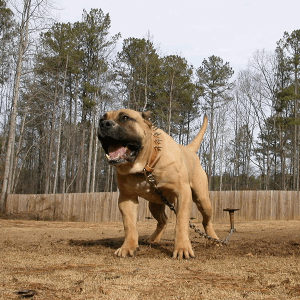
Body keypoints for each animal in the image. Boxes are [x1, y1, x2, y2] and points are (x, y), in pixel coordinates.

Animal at [98, 109, 218, 258]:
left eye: (125, 117)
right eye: (100, 119)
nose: (104, 124)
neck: (145, 166)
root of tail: (189, 150)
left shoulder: (182, 193)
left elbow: (181, 222)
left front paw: (182, 247)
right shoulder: (127, 198)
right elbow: (129, 225)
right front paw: (128, 247)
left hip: (203, 200)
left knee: (206, 221)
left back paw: (214, 239)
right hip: (155, 204)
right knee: (163, 220)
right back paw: (153, 238)